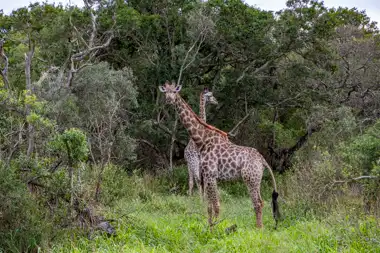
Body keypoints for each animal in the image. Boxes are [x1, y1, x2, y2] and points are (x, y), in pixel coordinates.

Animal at [159, 81, 280, 229]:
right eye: (165, 92)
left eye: (175, 92)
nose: (169, 100)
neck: (202, 140)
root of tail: (262, 160)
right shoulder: (208, 175)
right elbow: (210, 207)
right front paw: (209, 226)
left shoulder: (210, 174)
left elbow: (216, 205)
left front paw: (215, 228)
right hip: (256, 179)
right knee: (260, 202)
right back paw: (260, 227)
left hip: (250, 179)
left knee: (257, 203)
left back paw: (258, 229)